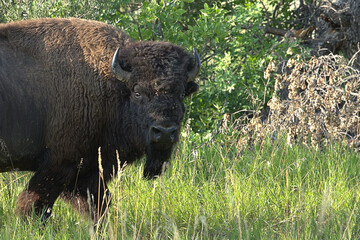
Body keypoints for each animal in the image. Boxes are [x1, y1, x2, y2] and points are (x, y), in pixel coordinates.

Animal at [0, 18, 200, 223]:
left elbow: (99, 203)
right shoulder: (58, 165)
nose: (165, 132)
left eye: (182, 93)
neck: (110, 84)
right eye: (137, 91)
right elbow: (35, 206)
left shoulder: (89, 170)